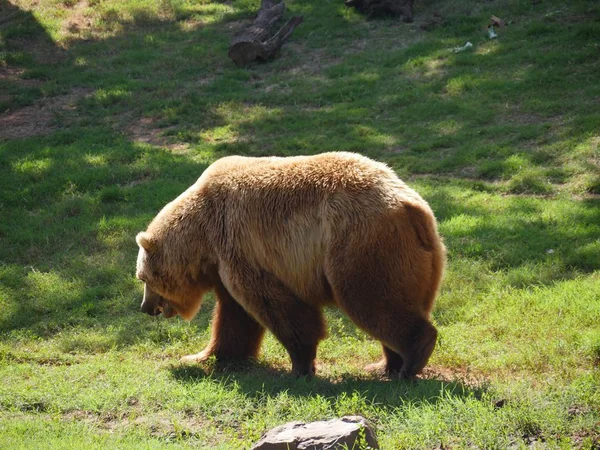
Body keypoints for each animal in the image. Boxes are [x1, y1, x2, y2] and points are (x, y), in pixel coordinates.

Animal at [136, 152, 446, 380]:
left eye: (143, 278)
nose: (145, 307)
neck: (203, 238)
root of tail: (413, 206)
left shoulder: (241, 244)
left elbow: (277, 306)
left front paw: (299, 366)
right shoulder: (225, 262)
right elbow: (235, 317)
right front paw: (204, 355)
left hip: (361, 244)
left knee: (373, 299)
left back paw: (412, 359)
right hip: (414, 259)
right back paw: (387, 365)